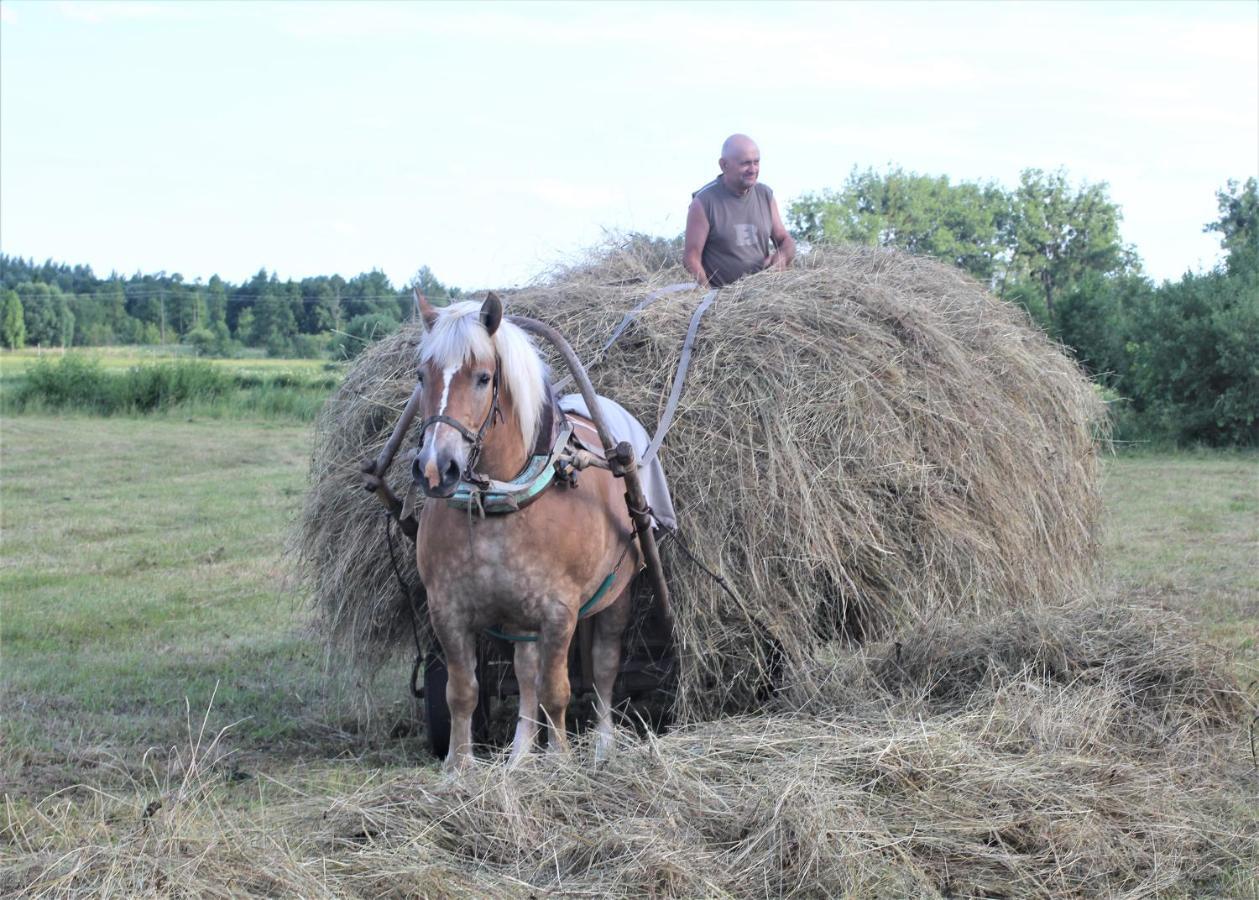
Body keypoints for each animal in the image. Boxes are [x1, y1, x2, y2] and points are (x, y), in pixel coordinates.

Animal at [410, 292, 634, 770]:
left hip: (616, 594)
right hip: (519, 614)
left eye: (483, 378)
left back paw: (603, 743)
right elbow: (462, 693)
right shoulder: (447, 610)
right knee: (526, 672)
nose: (436, 468)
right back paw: (520, 753)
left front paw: (562, 762)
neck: (500, 502)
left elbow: (558, 691)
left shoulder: (559, 611)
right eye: (422, 375)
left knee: (604, 667)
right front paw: (457, 769)